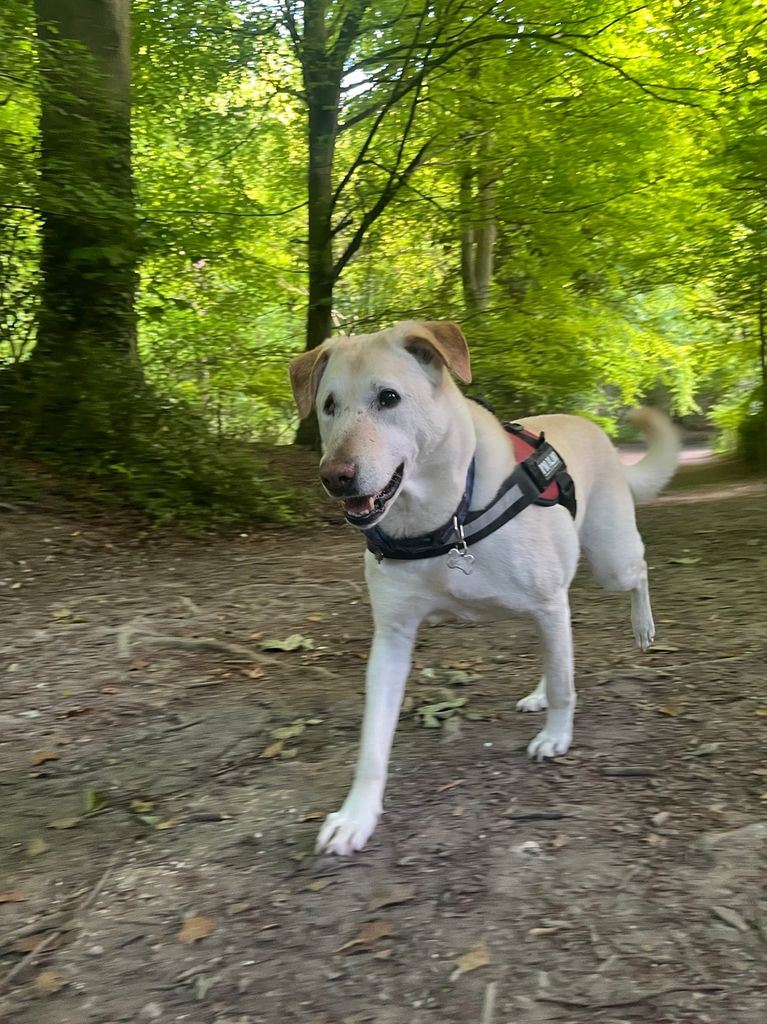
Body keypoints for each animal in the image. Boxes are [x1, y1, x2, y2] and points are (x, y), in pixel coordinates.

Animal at [286, 319, 675, 856]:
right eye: (328, 405)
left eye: (389, 397)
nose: (335, 477)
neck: (444, 519)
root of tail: (590, 425)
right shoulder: (392, 638)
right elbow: (372, 743)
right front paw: (356, 816)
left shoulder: (547, 601)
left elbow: (565, 686)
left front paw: (556, 736)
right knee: (561, 644)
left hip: (609, 559)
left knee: (637, 574)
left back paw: (643, 628)